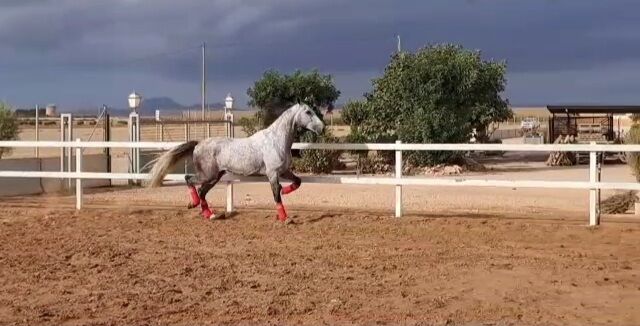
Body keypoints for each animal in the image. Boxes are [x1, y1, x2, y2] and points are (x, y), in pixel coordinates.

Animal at [146, 104, 324, 222]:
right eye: (308, 112)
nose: (322, 128)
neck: (275, 140)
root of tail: (198, 144)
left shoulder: (284, 171)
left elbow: (297, 182)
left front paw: (285, 191)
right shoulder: (272, 173)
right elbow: (275, 194)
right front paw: (285, 218)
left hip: (215, 177)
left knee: (202, 191)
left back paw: (210, 214)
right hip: (207, 175)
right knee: (189, 179)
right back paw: (194, 204)